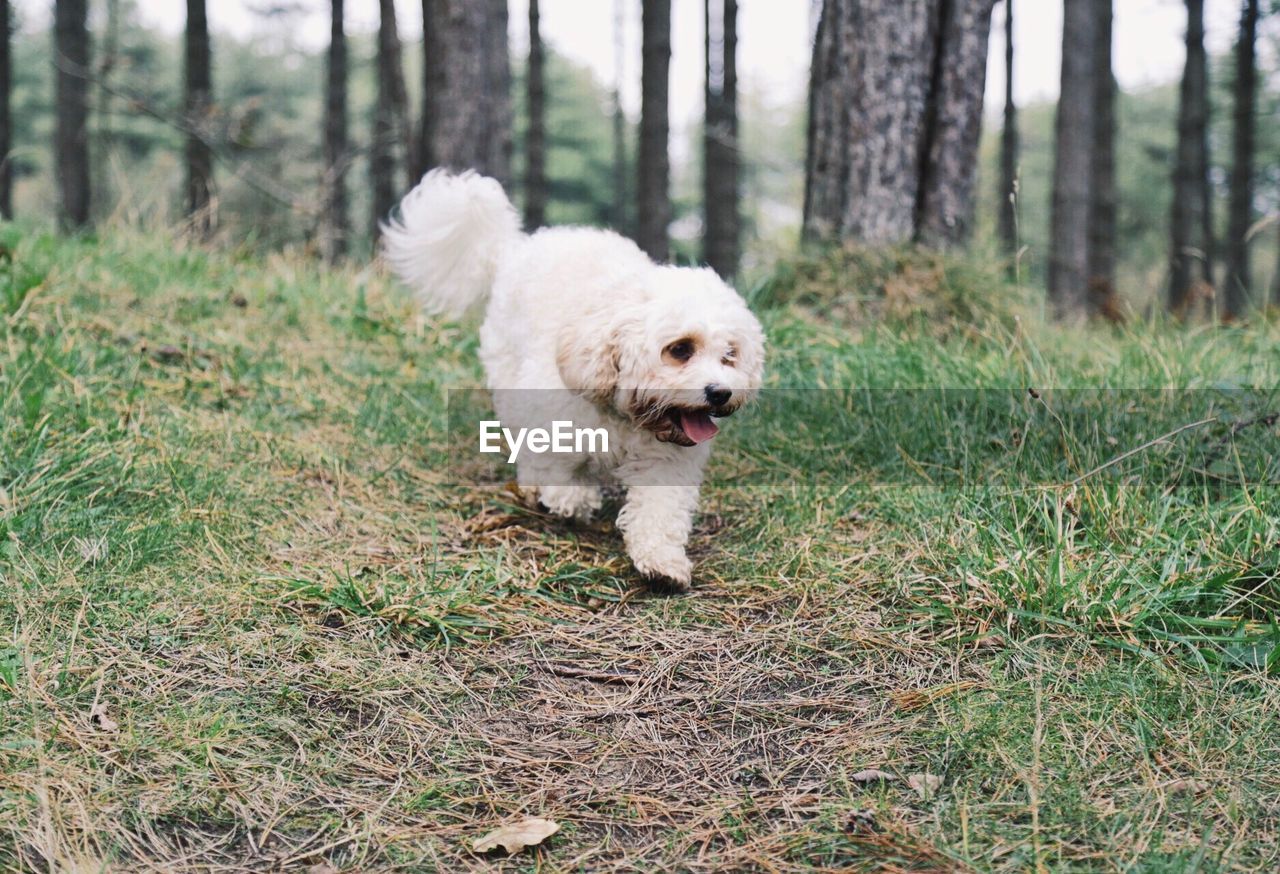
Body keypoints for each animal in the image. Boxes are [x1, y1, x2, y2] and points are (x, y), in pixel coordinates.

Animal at [378, 171, 757, 591]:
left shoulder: (666, 462)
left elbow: (659, 511)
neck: (624, 415)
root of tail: (516, 248)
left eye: (730, 355)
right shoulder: (551, 418)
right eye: (680, 349)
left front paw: (662, 563)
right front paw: (572, 500)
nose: (721, 393)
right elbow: (555, 469)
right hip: (508, 372)